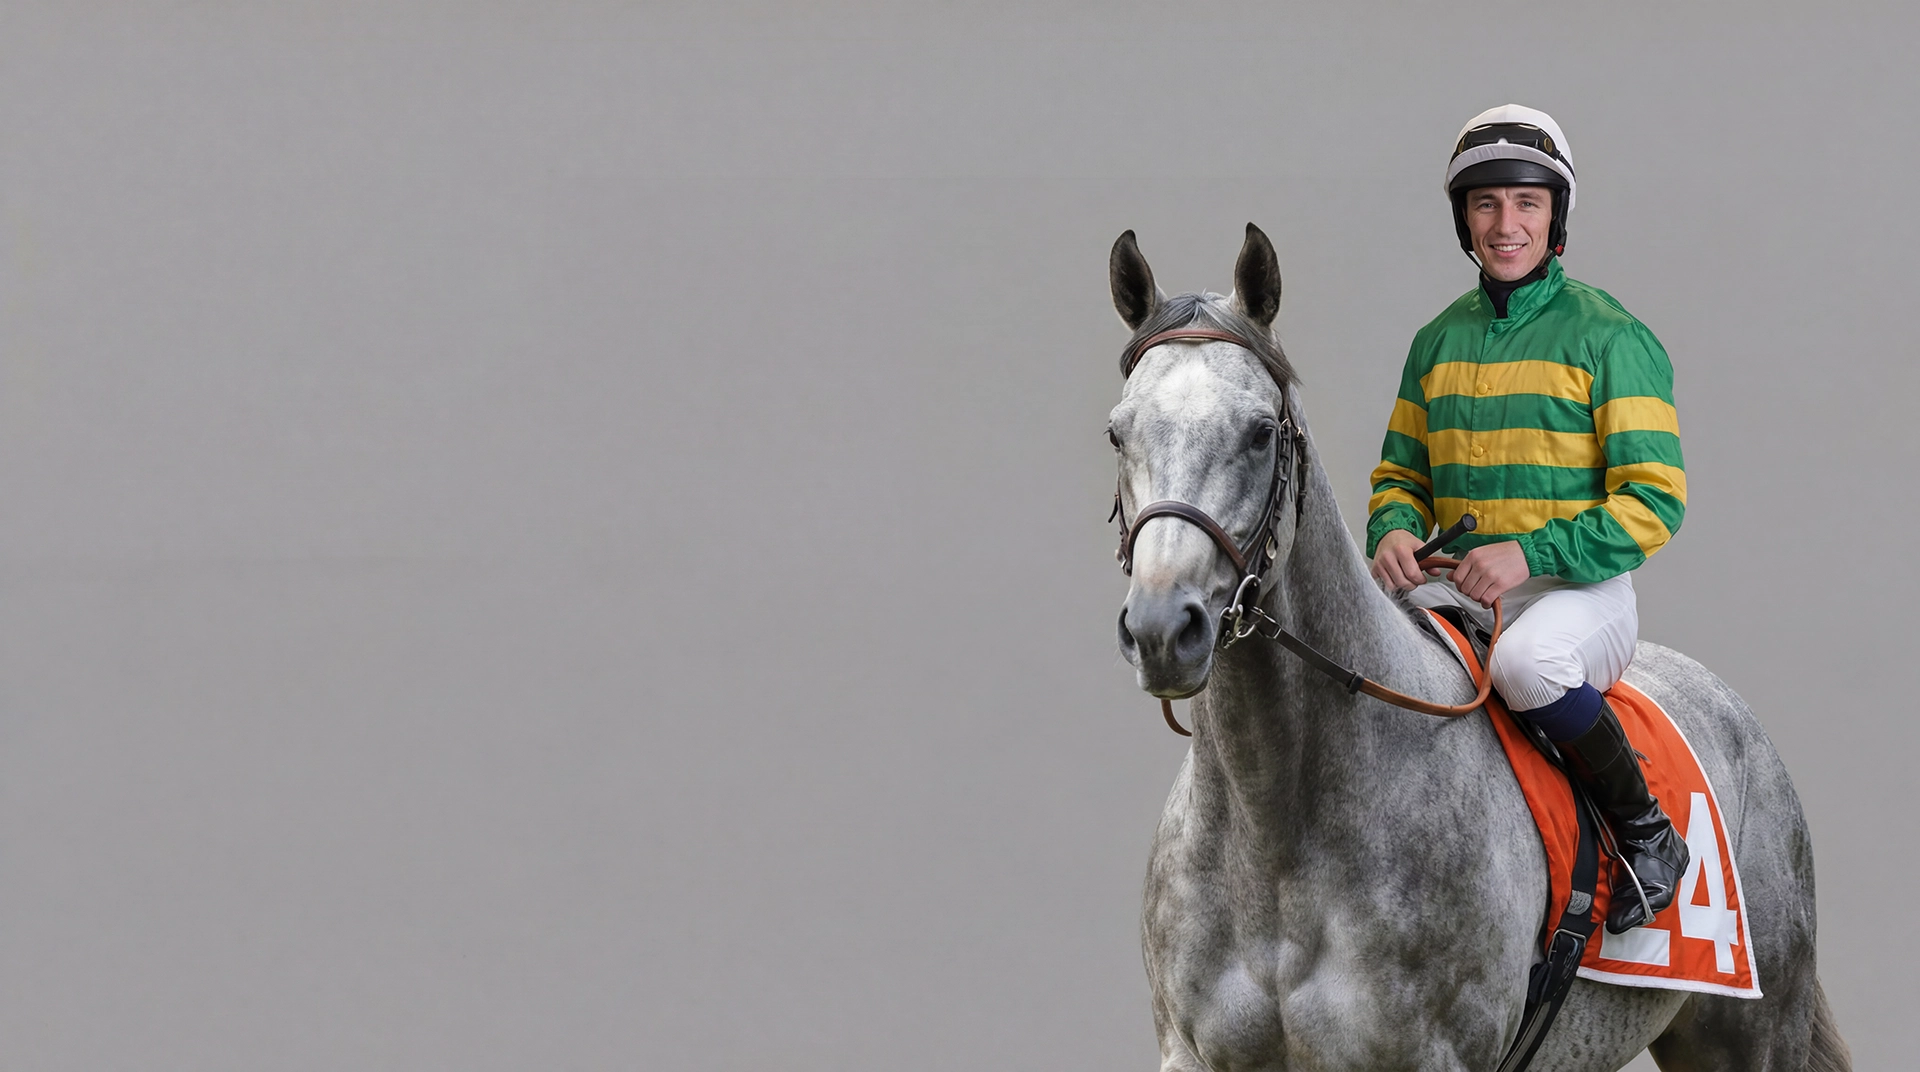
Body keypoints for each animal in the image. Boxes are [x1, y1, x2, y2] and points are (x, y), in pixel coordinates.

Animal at [1105, 223, 1850, 1071]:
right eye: (1118, 431)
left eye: (1261, 431)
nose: (1164, 628)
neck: (1277, 832)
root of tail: (1736, 711)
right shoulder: (1192, 1052)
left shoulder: (1435, 1056)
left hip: (1756, 1031)